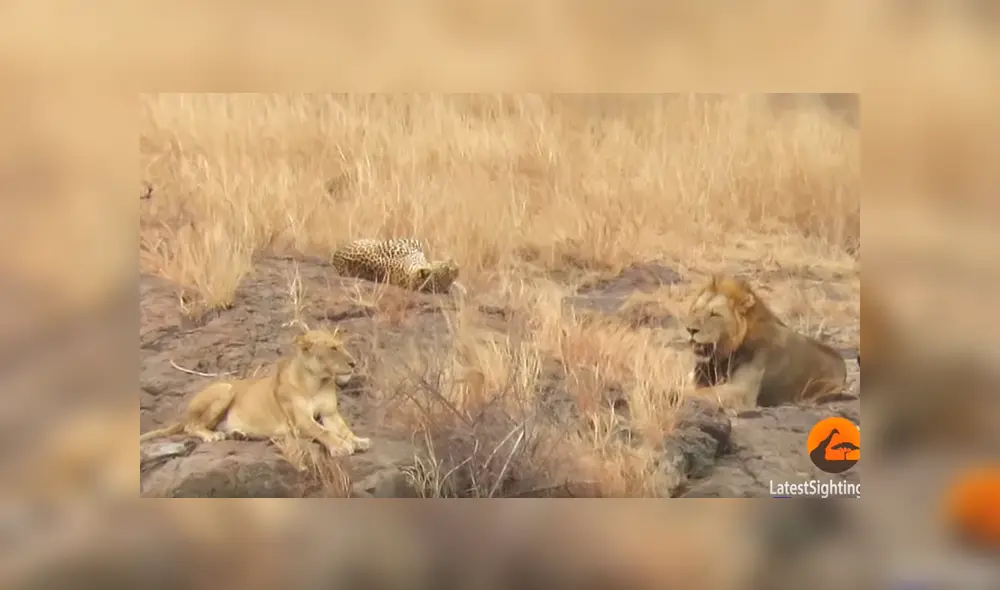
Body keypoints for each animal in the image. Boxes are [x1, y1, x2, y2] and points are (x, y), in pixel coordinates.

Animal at [139, 329, 371, 460]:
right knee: (191, 426)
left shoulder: (329, 413)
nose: (353, 363)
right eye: (333, 348)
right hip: (225, 389)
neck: (315, 381)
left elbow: (343, 428)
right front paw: (341, 447)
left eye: (342, 346)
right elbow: (323, 432)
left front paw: (358, 440)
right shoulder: (300, 421)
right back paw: (213, 435)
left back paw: (237, 434)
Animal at [683, 275, 848, 409]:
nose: (690, 329)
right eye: (695, 310)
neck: (719, 358)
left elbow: (701, 392)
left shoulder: (742, 393)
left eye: (714, 314)